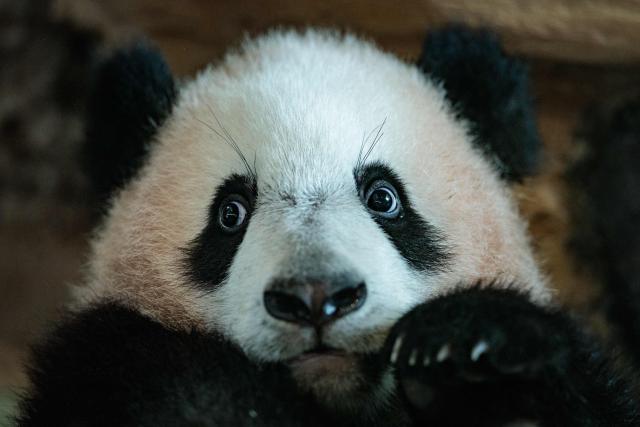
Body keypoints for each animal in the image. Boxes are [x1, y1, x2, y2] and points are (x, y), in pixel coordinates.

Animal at [17, 27, 640, 426]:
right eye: (230, 213)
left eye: (384, 198)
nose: (316, 297)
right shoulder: (96, 369)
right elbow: (163, 380)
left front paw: (470, 345)